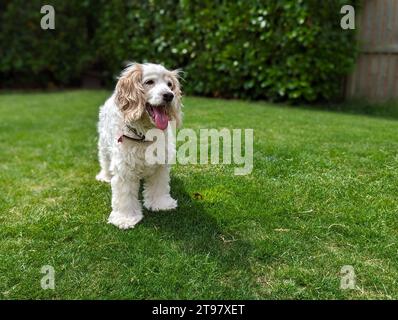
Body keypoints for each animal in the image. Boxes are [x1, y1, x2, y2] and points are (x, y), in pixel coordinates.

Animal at [96, 62, 183, 229]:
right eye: (149, 82)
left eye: (169, 85)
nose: (169, 95)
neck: (145, 133)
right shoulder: (124, 168)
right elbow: (124, 196)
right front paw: (125, 218)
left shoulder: (161, 163)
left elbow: (159, 186)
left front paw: (161, 204)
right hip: (103, 145)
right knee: (104, 161)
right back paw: (105, 176)